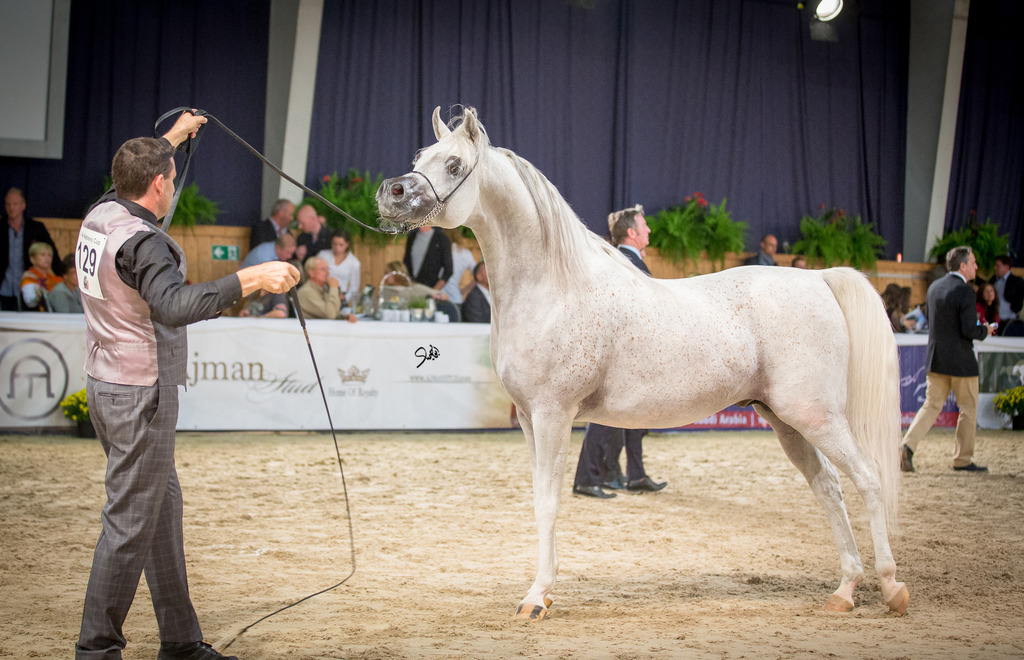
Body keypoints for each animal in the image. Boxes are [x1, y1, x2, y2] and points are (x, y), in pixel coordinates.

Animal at [376, 106, 909, 620]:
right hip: (786, 421)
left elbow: (548, 503)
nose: (391, 193)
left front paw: (537, 597)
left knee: (868, 479)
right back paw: (845, 589)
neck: (555, 287)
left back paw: (891, 586)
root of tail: (818, 277)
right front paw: (545, 590)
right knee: (829, 487)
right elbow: (539, 499)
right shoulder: (528, 419)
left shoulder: (553, 415)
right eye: (420, 155)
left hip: (815, 416)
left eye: (453, 164)